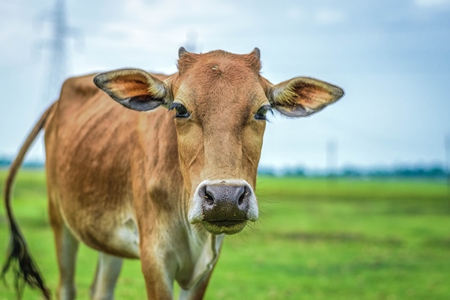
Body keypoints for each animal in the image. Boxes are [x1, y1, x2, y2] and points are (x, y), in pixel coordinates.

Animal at [1, 48, 342, 298]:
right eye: (179, 108)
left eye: (262, 111)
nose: (225, 198)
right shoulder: (155, 259)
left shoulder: (206, 266)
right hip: (60, 223)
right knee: (67, 287)